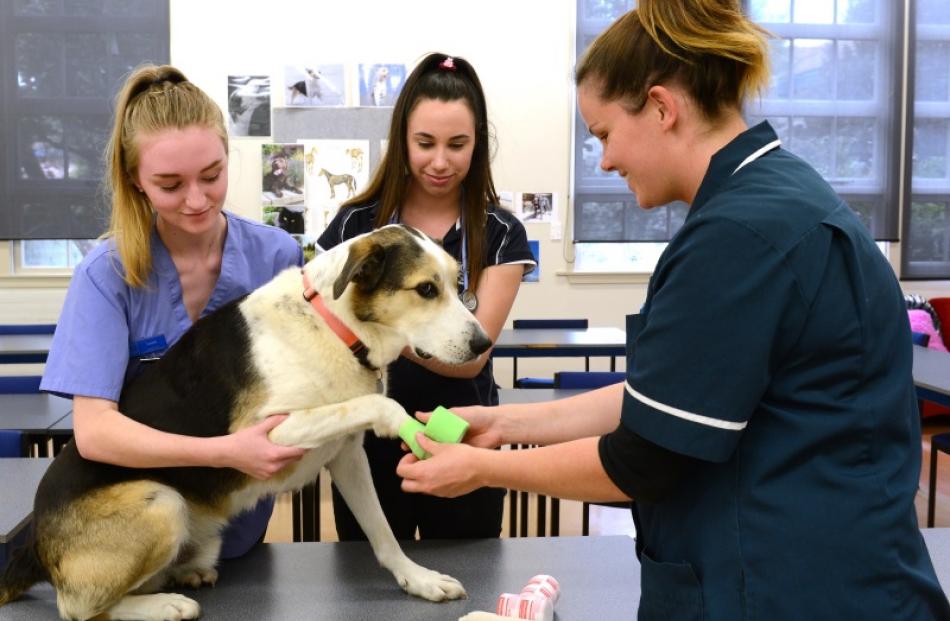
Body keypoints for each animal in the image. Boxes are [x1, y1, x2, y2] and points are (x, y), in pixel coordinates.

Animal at [0, 225, 488, 620]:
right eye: (426, 289)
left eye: (456, 284)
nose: (483, 344)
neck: (334, 325)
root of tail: (35, 542)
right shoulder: (272, 430)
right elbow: (373, 405)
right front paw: (404, 424)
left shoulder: (348, 457)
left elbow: (383, 533)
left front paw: (417, 578)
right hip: (162, 502)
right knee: (76, 608)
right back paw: (164, 605)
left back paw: (185, 575)